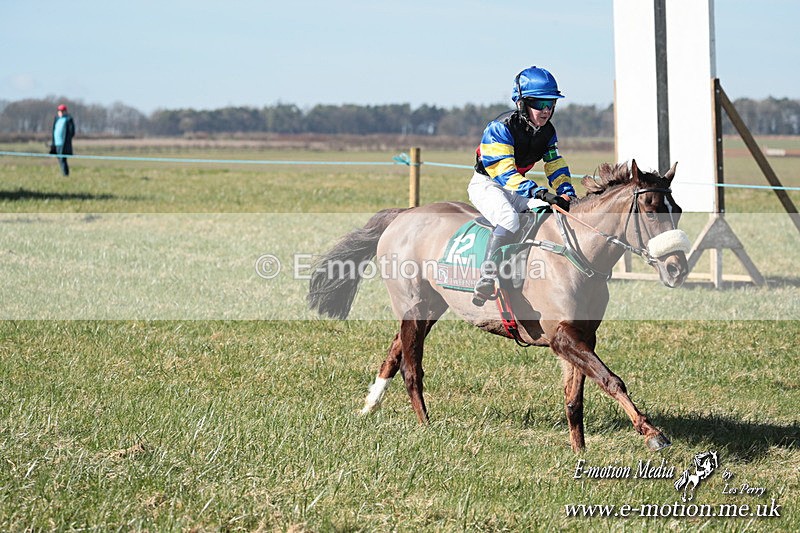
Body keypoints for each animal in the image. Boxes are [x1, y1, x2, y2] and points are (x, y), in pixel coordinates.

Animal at [308, 160, 690, 452]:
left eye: (679, 211)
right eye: (651, 209)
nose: (677, 268)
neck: (576, 251)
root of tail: (403, 216)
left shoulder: (583, 335)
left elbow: (574, 397)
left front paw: (579, 449)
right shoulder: (562, 338)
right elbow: (612, 380)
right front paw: (652, 433)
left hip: (430, 306)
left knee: (394, 351)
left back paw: (369, 406)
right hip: (412, 304)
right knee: (411, 369)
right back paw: (425, 424)